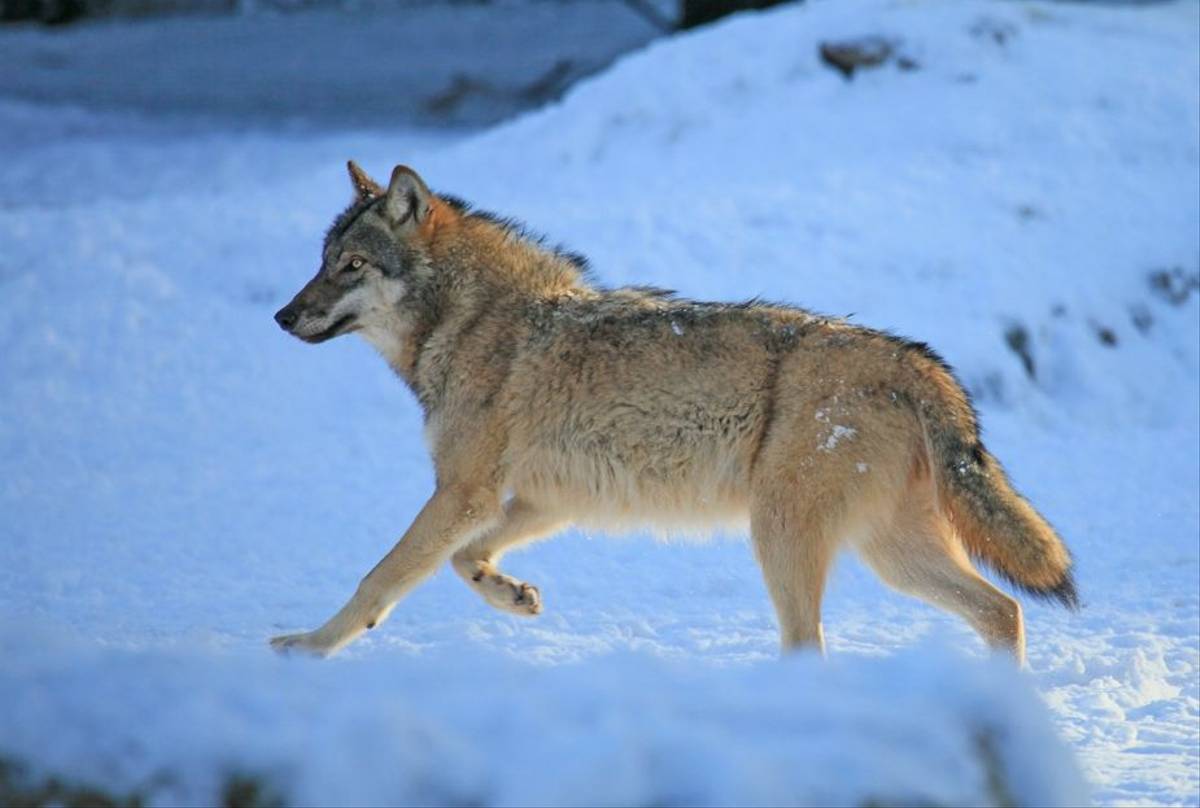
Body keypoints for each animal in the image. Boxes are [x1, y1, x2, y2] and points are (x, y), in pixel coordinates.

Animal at [272, 159, 1080, 662]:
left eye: (351, 265)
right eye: (321, 261)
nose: (281, 316)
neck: (468, 323)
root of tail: (918, 363)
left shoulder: (463, 493)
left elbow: (379, 577)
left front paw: (308, 648)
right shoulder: (542, 499)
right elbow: (464, 561)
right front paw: (516, 598)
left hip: (782, 537)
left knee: (814, 646)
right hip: (890, 556)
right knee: (1003, 611)